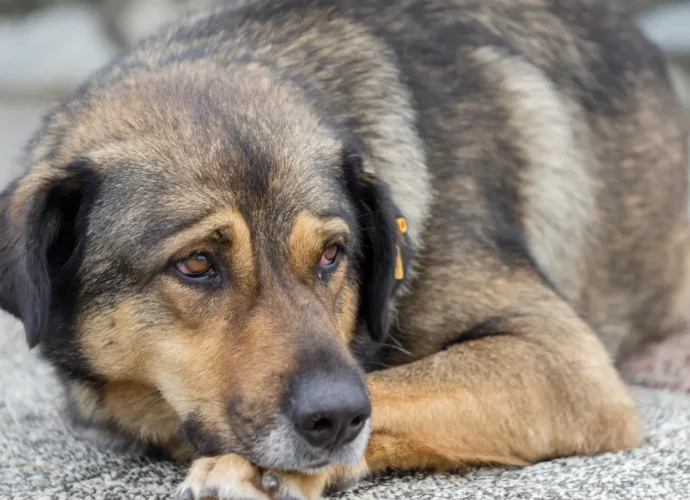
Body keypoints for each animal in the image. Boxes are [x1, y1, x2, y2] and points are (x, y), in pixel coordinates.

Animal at [1, 0, 688, 498]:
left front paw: (259, 470)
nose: (334, 418)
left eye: (332, 255)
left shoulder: (563, 358)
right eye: (196, 265)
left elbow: (394, 386)